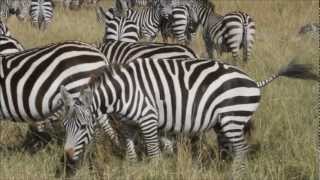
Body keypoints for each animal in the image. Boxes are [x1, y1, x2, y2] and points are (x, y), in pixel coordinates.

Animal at [60, 58, 318, 179]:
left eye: (83, 126)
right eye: (65, 126)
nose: (68, 156)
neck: (122, 92)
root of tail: (254, 81)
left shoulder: (148, 119)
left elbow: (154, 153)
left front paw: (156, 173)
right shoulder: (127, 125)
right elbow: (132, 153)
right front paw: (133, 171)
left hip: (233, 120)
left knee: (242, 149)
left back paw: (235, 175)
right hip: (223, 124)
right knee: (230, 149)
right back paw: (222, 169)